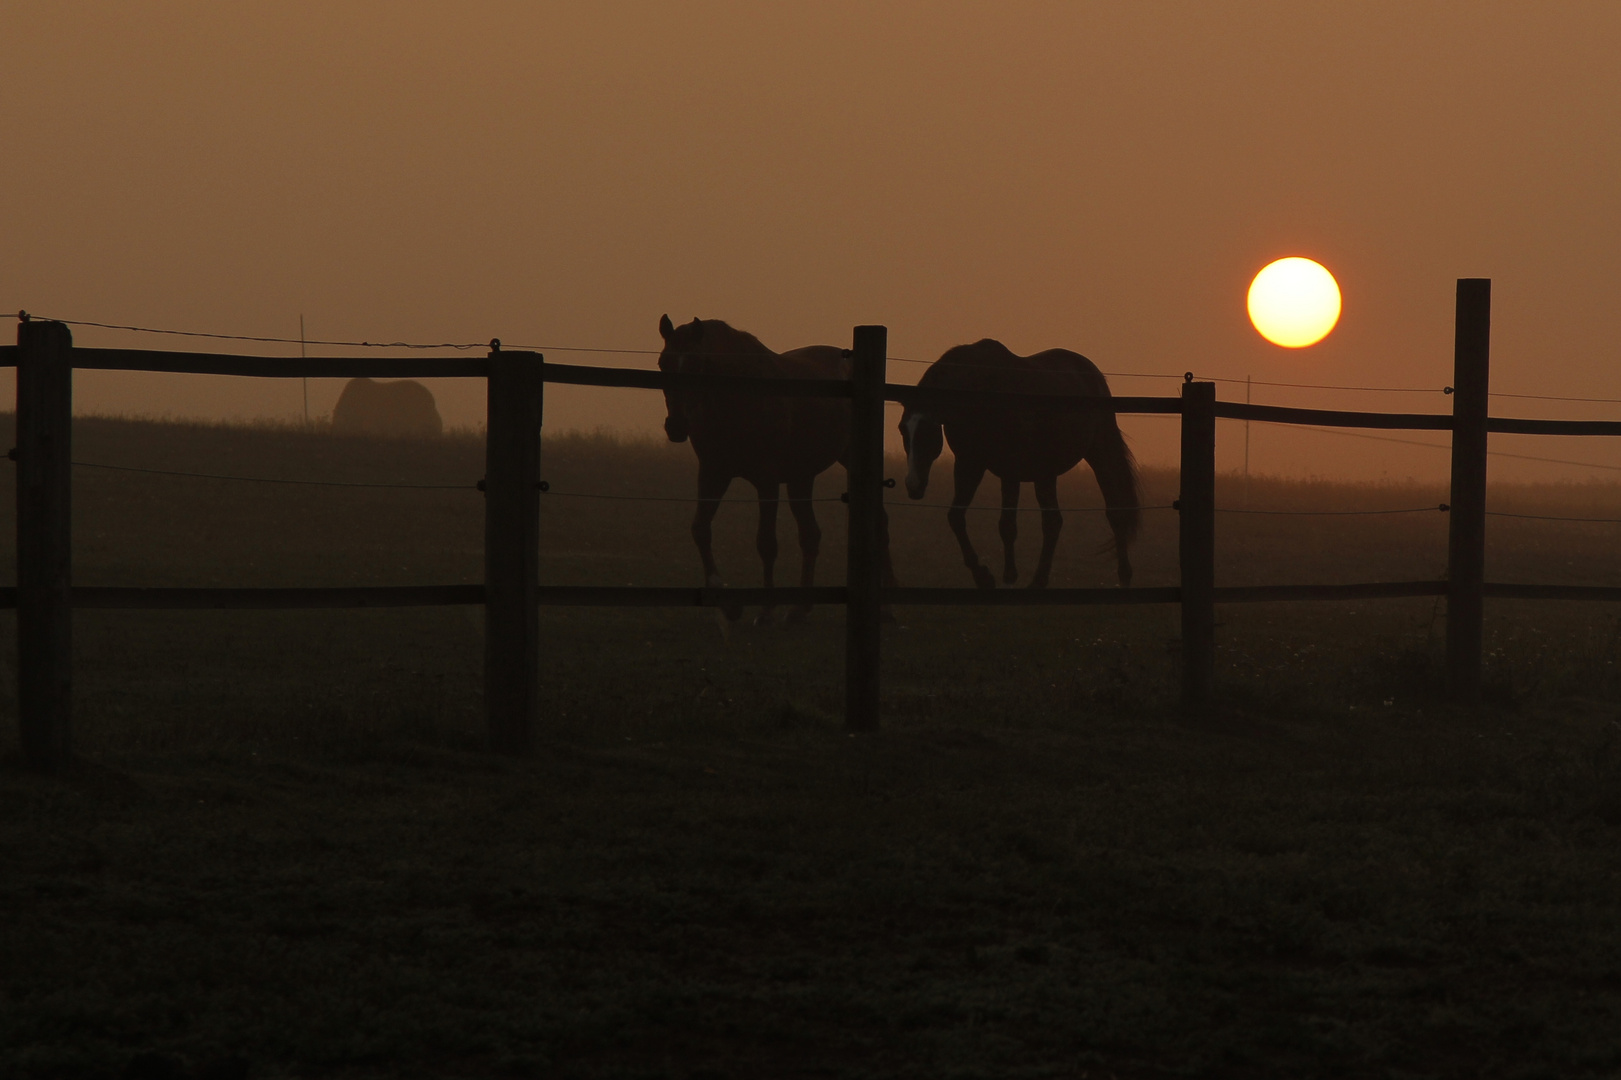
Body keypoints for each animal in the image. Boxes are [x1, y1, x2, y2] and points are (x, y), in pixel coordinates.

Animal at [654, 311, 901, 622]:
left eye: (697, 364)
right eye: (663, 363)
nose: (675, 427)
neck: (738, 398)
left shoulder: (767, 481)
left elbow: (766, 543)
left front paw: (766, 609)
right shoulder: (713, 474)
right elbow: (700, 529)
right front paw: (727, 603)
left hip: (846, 460)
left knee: (880, 523)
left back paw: (888, 606)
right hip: (800, 477)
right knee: (810, 534)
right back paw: (799, 609)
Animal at [901, 338, 1141, 583]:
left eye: (928, 432)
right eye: (902, 430)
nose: (913, 485)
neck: (981, 392)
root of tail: (1093, 373)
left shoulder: (1010, 469)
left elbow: (1006, 524)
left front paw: (1005, 575)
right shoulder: (970, 464)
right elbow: (958, 517)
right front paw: (986, 575)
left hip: (1099, 453)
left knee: (1114, 512)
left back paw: (1123, 574)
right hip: (1046, 472)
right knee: (1053, 522)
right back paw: (1039, 580)